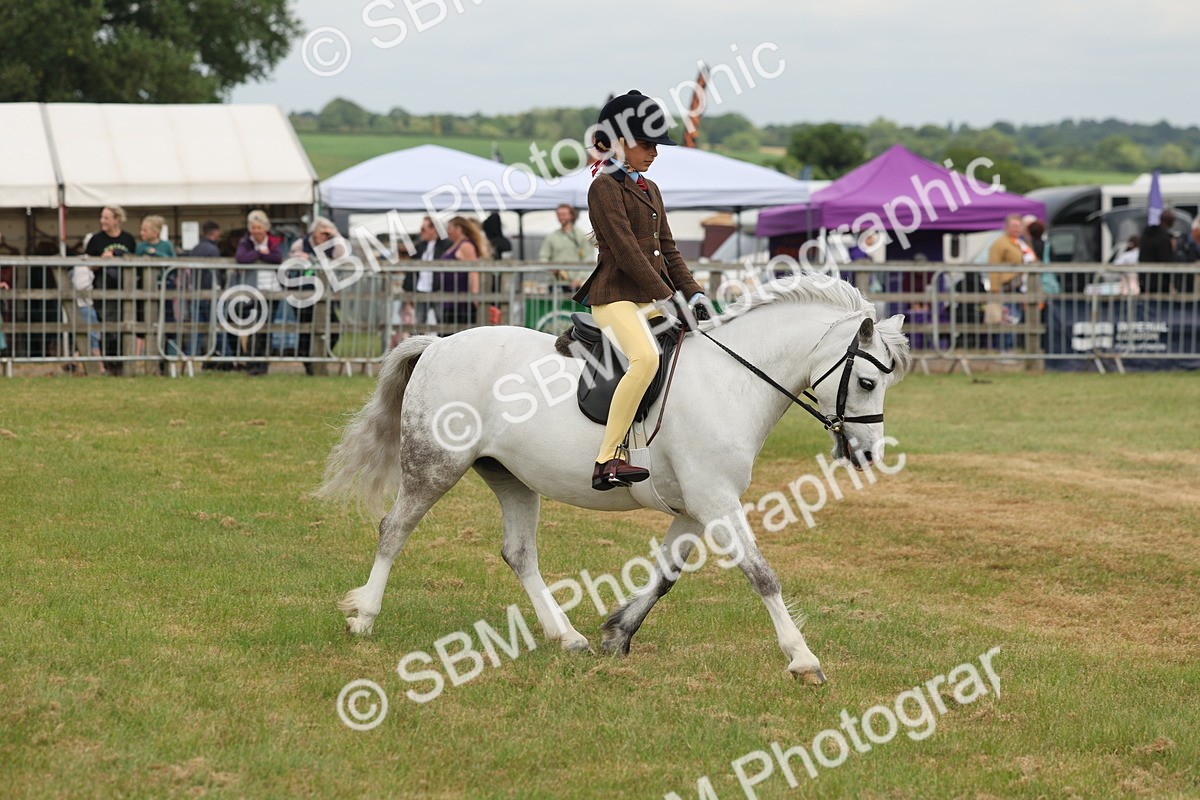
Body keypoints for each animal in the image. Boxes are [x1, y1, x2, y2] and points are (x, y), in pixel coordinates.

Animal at [319, 275, 910, 685]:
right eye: (865, 381)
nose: (867, 454)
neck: (731, 381)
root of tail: (439, 344)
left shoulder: (694, 508)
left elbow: (666, 576)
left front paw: (617, 633)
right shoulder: (716, 501)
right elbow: (762, 575)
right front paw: (803, 660)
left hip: (511, 476)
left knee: (519, 553)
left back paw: (567, 636)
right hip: (436, 465)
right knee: (394, 529)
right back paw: (364, 618)